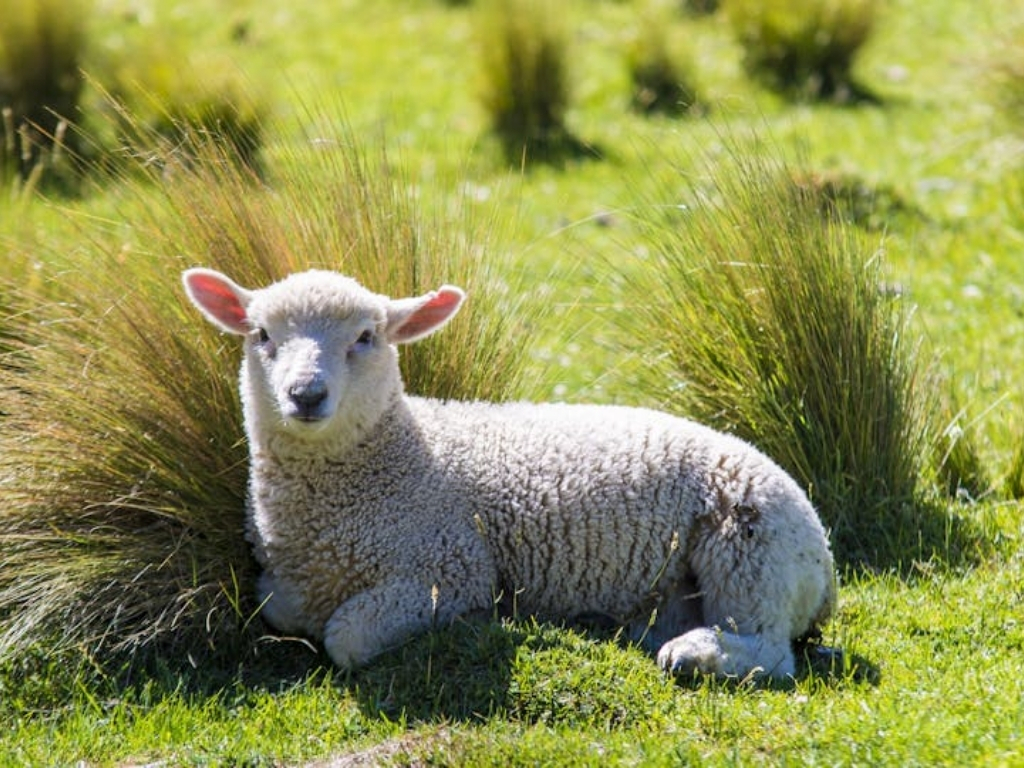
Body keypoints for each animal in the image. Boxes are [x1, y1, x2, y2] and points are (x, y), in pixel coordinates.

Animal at [182, 267, 836, 680]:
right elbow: (276, 607)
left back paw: (693, 654)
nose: (306, 395)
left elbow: (344, 636)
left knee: (774, 652)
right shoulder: (287, 580)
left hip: (750, 547)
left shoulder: (449, 569)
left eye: (366, 337)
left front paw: (476, 621)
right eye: (261, 335)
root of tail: (824, 559)